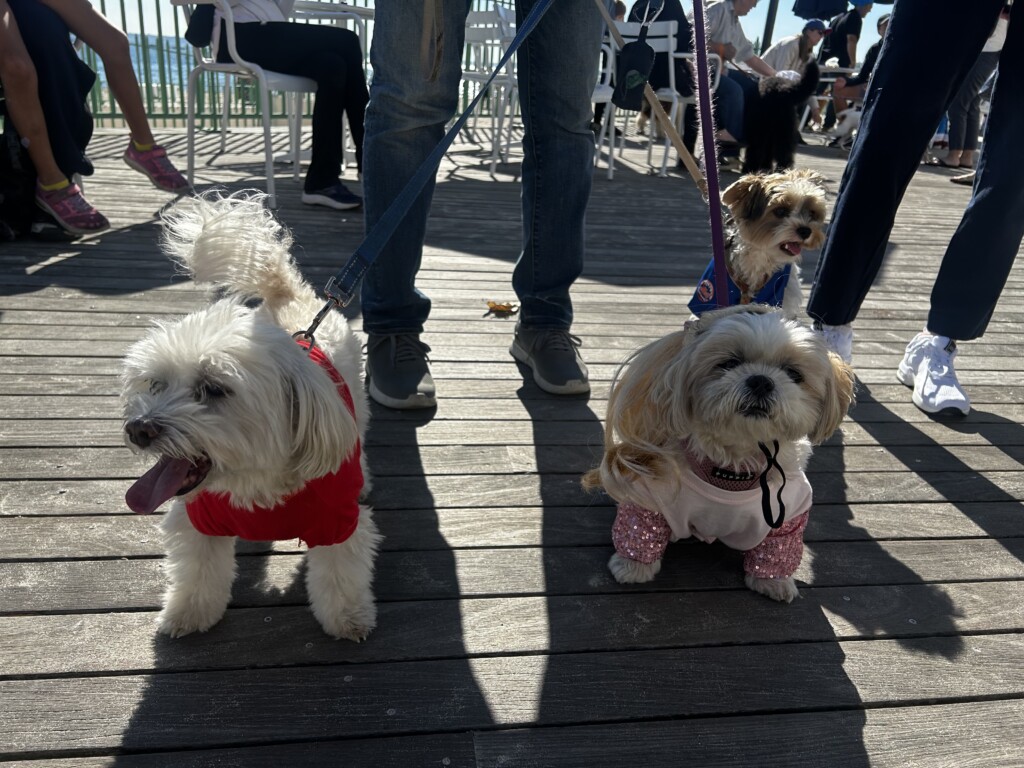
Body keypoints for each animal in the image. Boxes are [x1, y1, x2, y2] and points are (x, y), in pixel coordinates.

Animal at [119, 192, 382, 643]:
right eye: (154, 385)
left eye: (213, 389)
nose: (139, 430)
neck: (255, 483)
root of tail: (287, 296)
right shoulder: (198, 521)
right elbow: (197, 576)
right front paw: (188, 614)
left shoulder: (339, 523)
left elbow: (339, 577)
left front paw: (348, 618)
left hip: (356, 408)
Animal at [585, 303, 856, 606]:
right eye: (729, 363)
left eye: (794, 374)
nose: (761, 381)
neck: (732, 470)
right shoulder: (650, 494)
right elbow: (640, 529)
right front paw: (632, 566)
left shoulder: (790, 513)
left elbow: (778, 547)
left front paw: (773, 581)